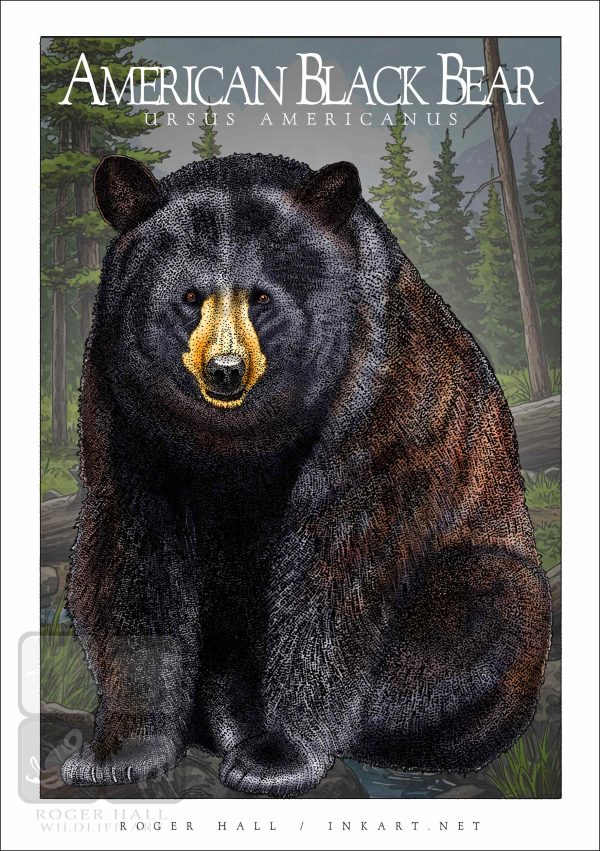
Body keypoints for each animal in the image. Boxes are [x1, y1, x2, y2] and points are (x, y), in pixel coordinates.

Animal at [61, 152, 551, 798]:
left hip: (486, 580)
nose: (225, 371)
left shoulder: (374, 390)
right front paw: (120, 751)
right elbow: (133, 554)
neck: (238, 437)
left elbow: (337, 564)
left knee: (484, 608)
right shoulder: (125, 403)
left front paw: (278, 755)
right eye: (190, 295)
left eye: (261, 297)